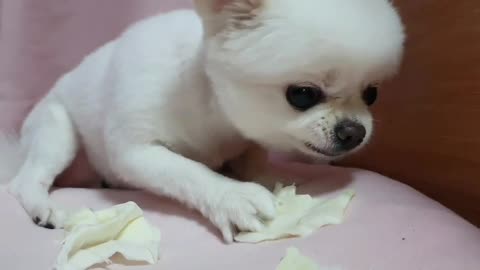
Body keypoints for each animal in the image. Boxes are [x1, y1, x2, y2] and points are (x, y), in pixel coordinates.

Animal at [0, 0, 404, 243]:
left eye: (372, 93)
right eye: (302, 94)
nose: (355, 131)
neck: (214, 110)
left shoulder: (245, 140)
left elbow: (254, 159)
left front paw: (269, 178)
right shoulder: (135, 152)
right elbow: (188, 172)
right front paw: (233, 196)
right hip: (56, 132)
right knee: (26, 180)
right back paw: (43, 207)